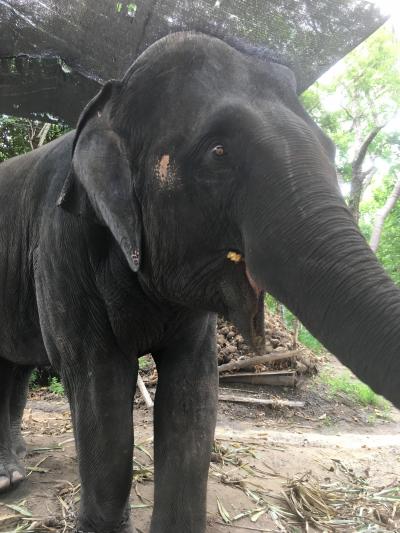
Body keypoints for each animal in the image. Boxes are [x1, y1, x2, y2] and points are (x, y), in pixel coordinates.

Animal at [0, 31, 400, 528]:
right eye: (218, 152)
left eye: (329, 149)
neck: (108, 102)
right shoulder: (61, 245)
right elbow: (98, 386)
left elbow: (193, 393)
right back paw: (9, 478)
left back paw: (14, 468)